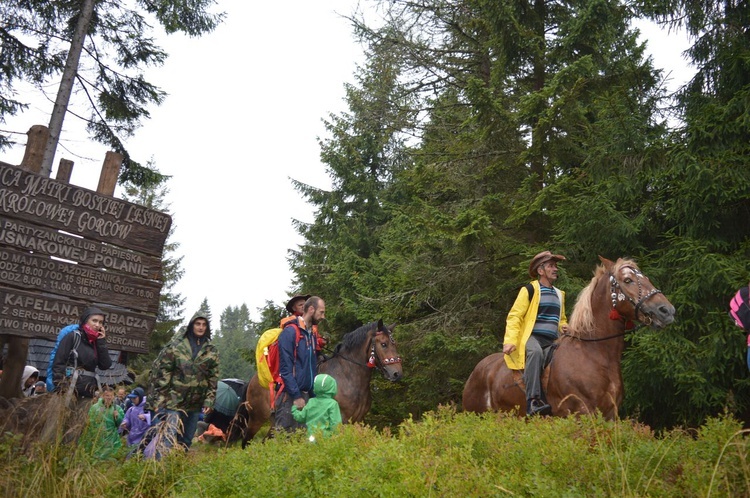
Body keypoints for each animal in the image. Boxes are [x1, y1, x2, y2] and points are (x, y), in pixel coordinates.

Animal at [232, 320, 402, 444]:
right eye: (383, 344)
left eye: (394, 343)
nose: (397, 373)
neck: (349, 376)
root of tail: (253, 380)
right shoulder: (341, 420)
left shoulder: (357, 421)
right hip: (256, 419)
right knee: (246, 442)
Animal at [462, 255, 680, 418]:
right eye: (628, 280)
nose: (667, 311)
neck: (593, 353)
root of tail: (476, 371)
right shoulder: (582, 413)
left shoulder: (610, 414)